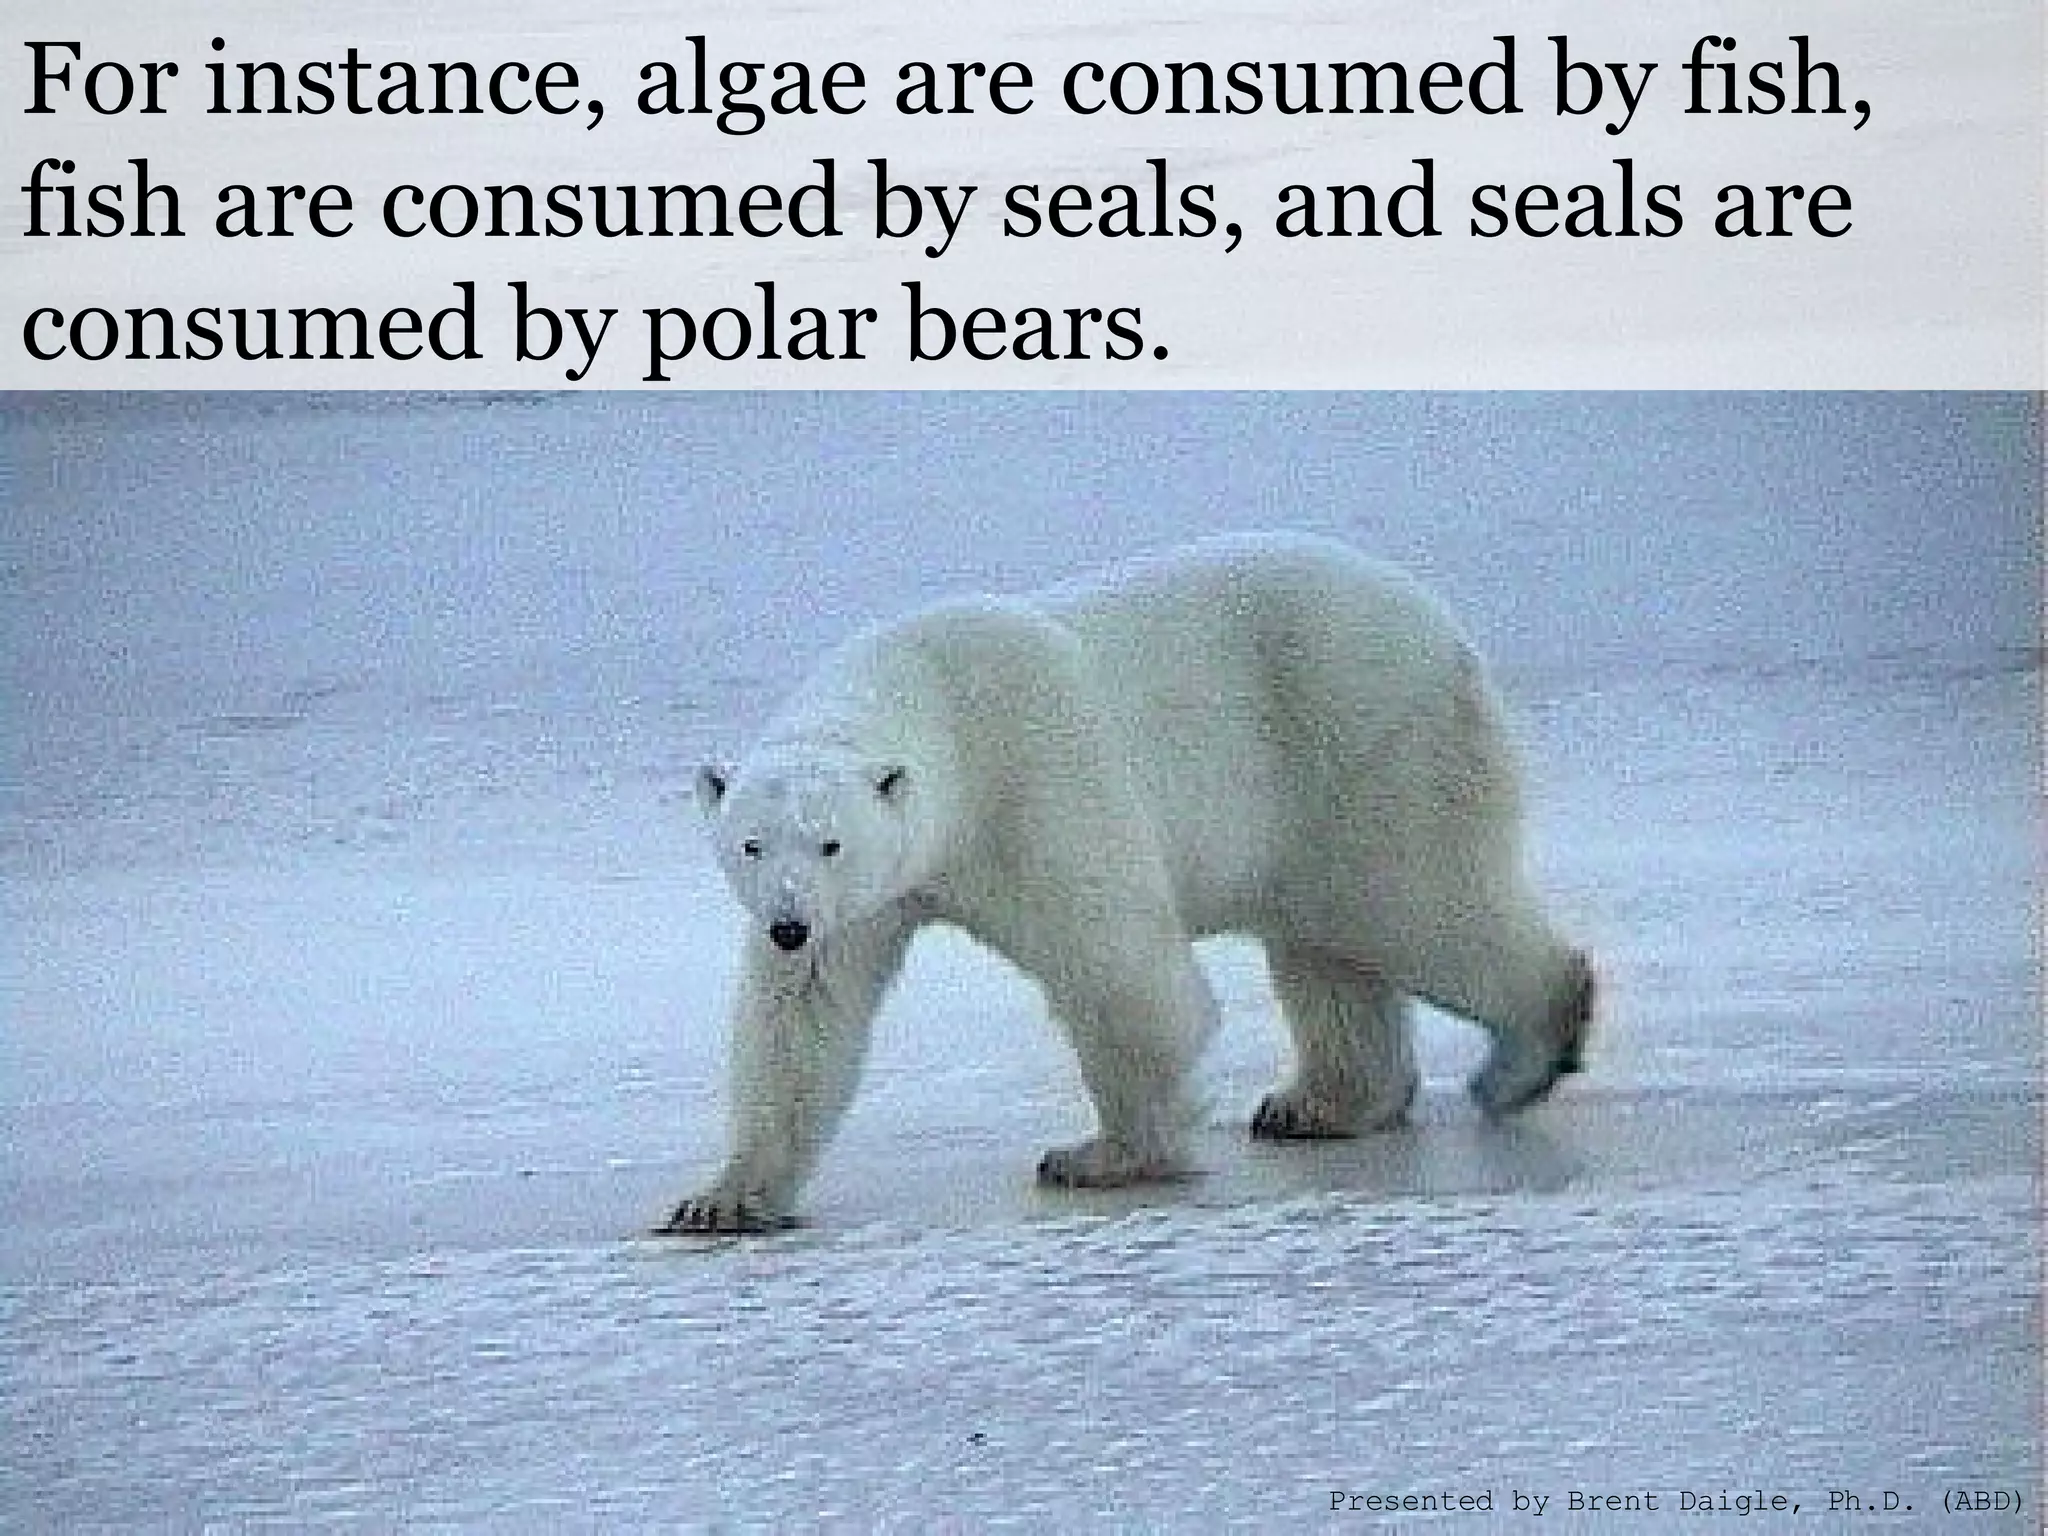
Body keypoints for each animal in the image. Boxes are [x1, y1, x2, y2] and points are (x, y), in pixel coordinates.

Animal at [663, 532, 1592, 1233]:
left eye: (830, 843)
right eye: (751, 845)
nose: (787, 925)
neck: (933, 699)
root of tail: (1440, 621)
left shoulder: (1032, 778)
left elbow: (1117, 967)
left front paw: (1103, 1155)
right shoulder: (869, 902)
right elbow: (802, 1021)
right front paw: (721, 1199)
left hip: (1366, 740)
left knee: (1413, 901)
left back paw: (1526, 1053)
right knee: (1326, 948)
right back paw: (1318, 1105)